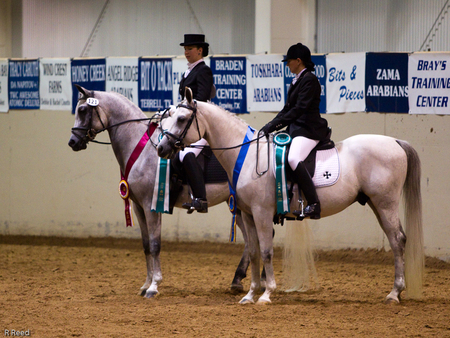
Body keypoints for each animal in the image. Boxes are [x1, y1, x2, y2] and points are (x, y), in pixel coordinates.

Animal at [68, 86, 255, 298]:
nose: (72, 142)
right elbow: (146, 245)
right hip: (237, 206)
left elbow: (155, 244)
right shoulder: (138, 206)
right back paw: (239, 280)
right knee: (252, 240)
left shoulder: (151, 206)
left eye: (83, 110)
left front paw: (154, 286)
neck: (140, 149)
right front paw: (145, 284)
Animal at [156, 88, 424, 304]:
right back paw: (396, 291)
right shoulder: (248, 214)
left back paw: (394, 293)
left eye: (181, 119)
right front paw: (250, 294)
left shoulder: (262, 213)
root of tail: (395, 142)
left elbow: (266, 250)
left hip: (385, 204)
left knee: (397, 241)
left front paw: (266, 294)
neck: (247, 155)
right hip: (377, 205)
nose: (161, 148)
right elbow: (253, 251)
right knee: (395, 240)